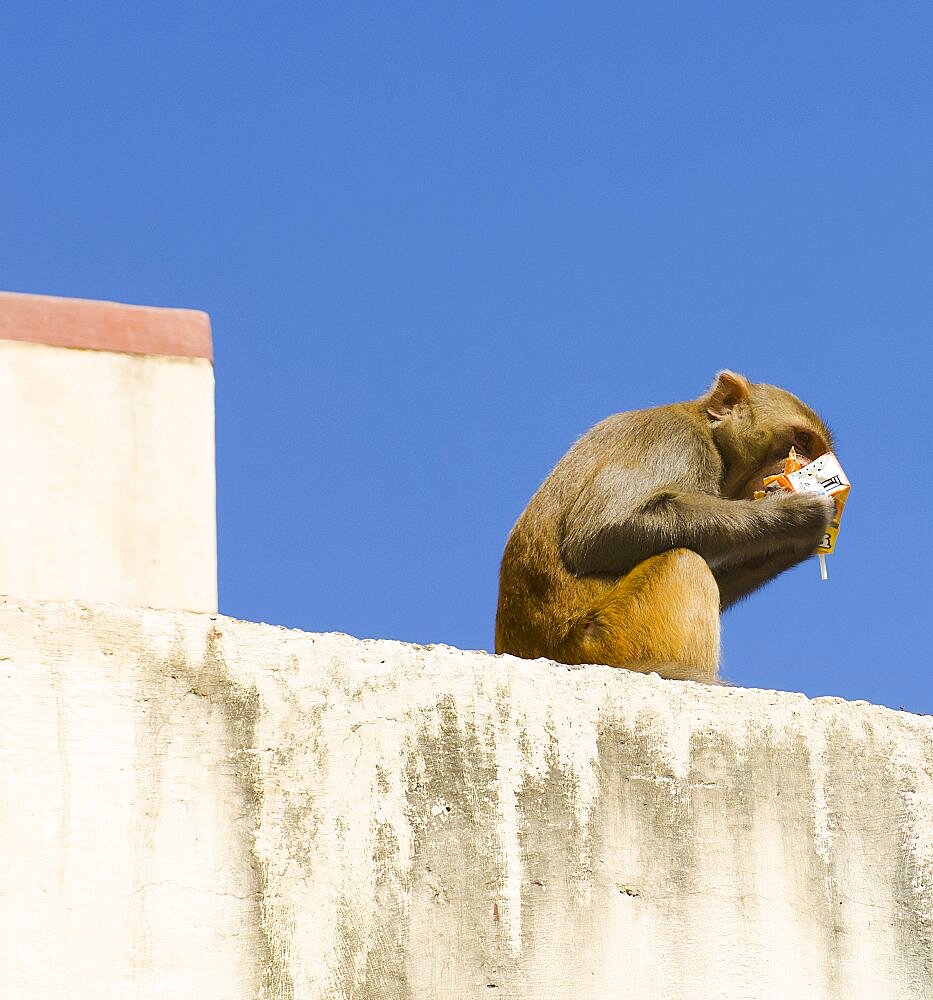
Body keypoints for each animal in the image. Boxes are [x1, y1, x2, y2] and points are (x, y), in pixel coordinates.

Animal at [496, 372, 836, 684]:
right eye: (802, 440)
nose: (805, 465)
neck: (707, 430)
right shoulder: (677, 441)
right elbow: (600, 532)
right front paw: (793, 514)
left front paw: (799, 542)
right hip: (604, 642)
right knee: (682, 562)